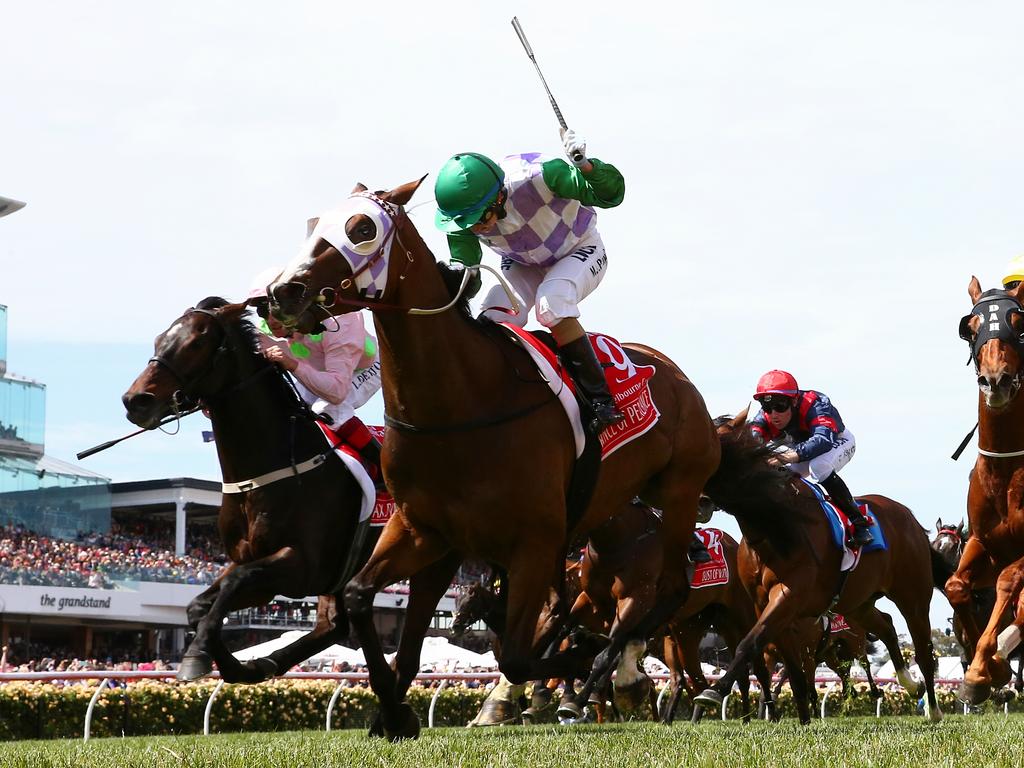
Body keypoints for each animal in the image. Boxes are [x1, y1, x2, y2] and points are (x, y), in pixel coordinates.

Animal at [119, 301, 376, 684]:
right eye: (158, 339)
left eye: (196, 343)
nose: (136, 400)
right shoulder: (255, 563)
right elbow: (199, 606)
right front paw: (234, 664)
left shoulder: (301, 566)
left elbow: (231, 586)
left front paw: (198, 656)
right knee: (332, 626)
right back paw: (268, 662)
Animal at [270, 182, 720, 741]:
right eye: (315, 225)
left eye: (361, 229)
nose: (282, 293)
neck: (462, 402)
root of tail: (675, 373)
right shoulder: (424, 531)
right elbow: (362, 602)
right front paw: (394, 715)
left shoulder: (534, 543)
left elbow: (520, 658)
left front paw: (578, 670)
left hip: (679, 489)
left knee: (669, 590)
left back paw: (624, 672)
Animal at [688, 423, 942, 724]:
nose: (699, 501)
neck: (773, 526)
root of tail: (910, 518)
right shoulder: (767, 604)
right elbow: (791, 668)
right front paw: (803, 720)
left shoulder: (789, 594)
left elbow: (750, 643)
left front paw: (714, 691)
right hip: (857, 603)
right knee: (887, 626)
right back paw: (910, 683)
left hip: (912, 596)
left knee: (923, 650)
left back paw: (933, 709)